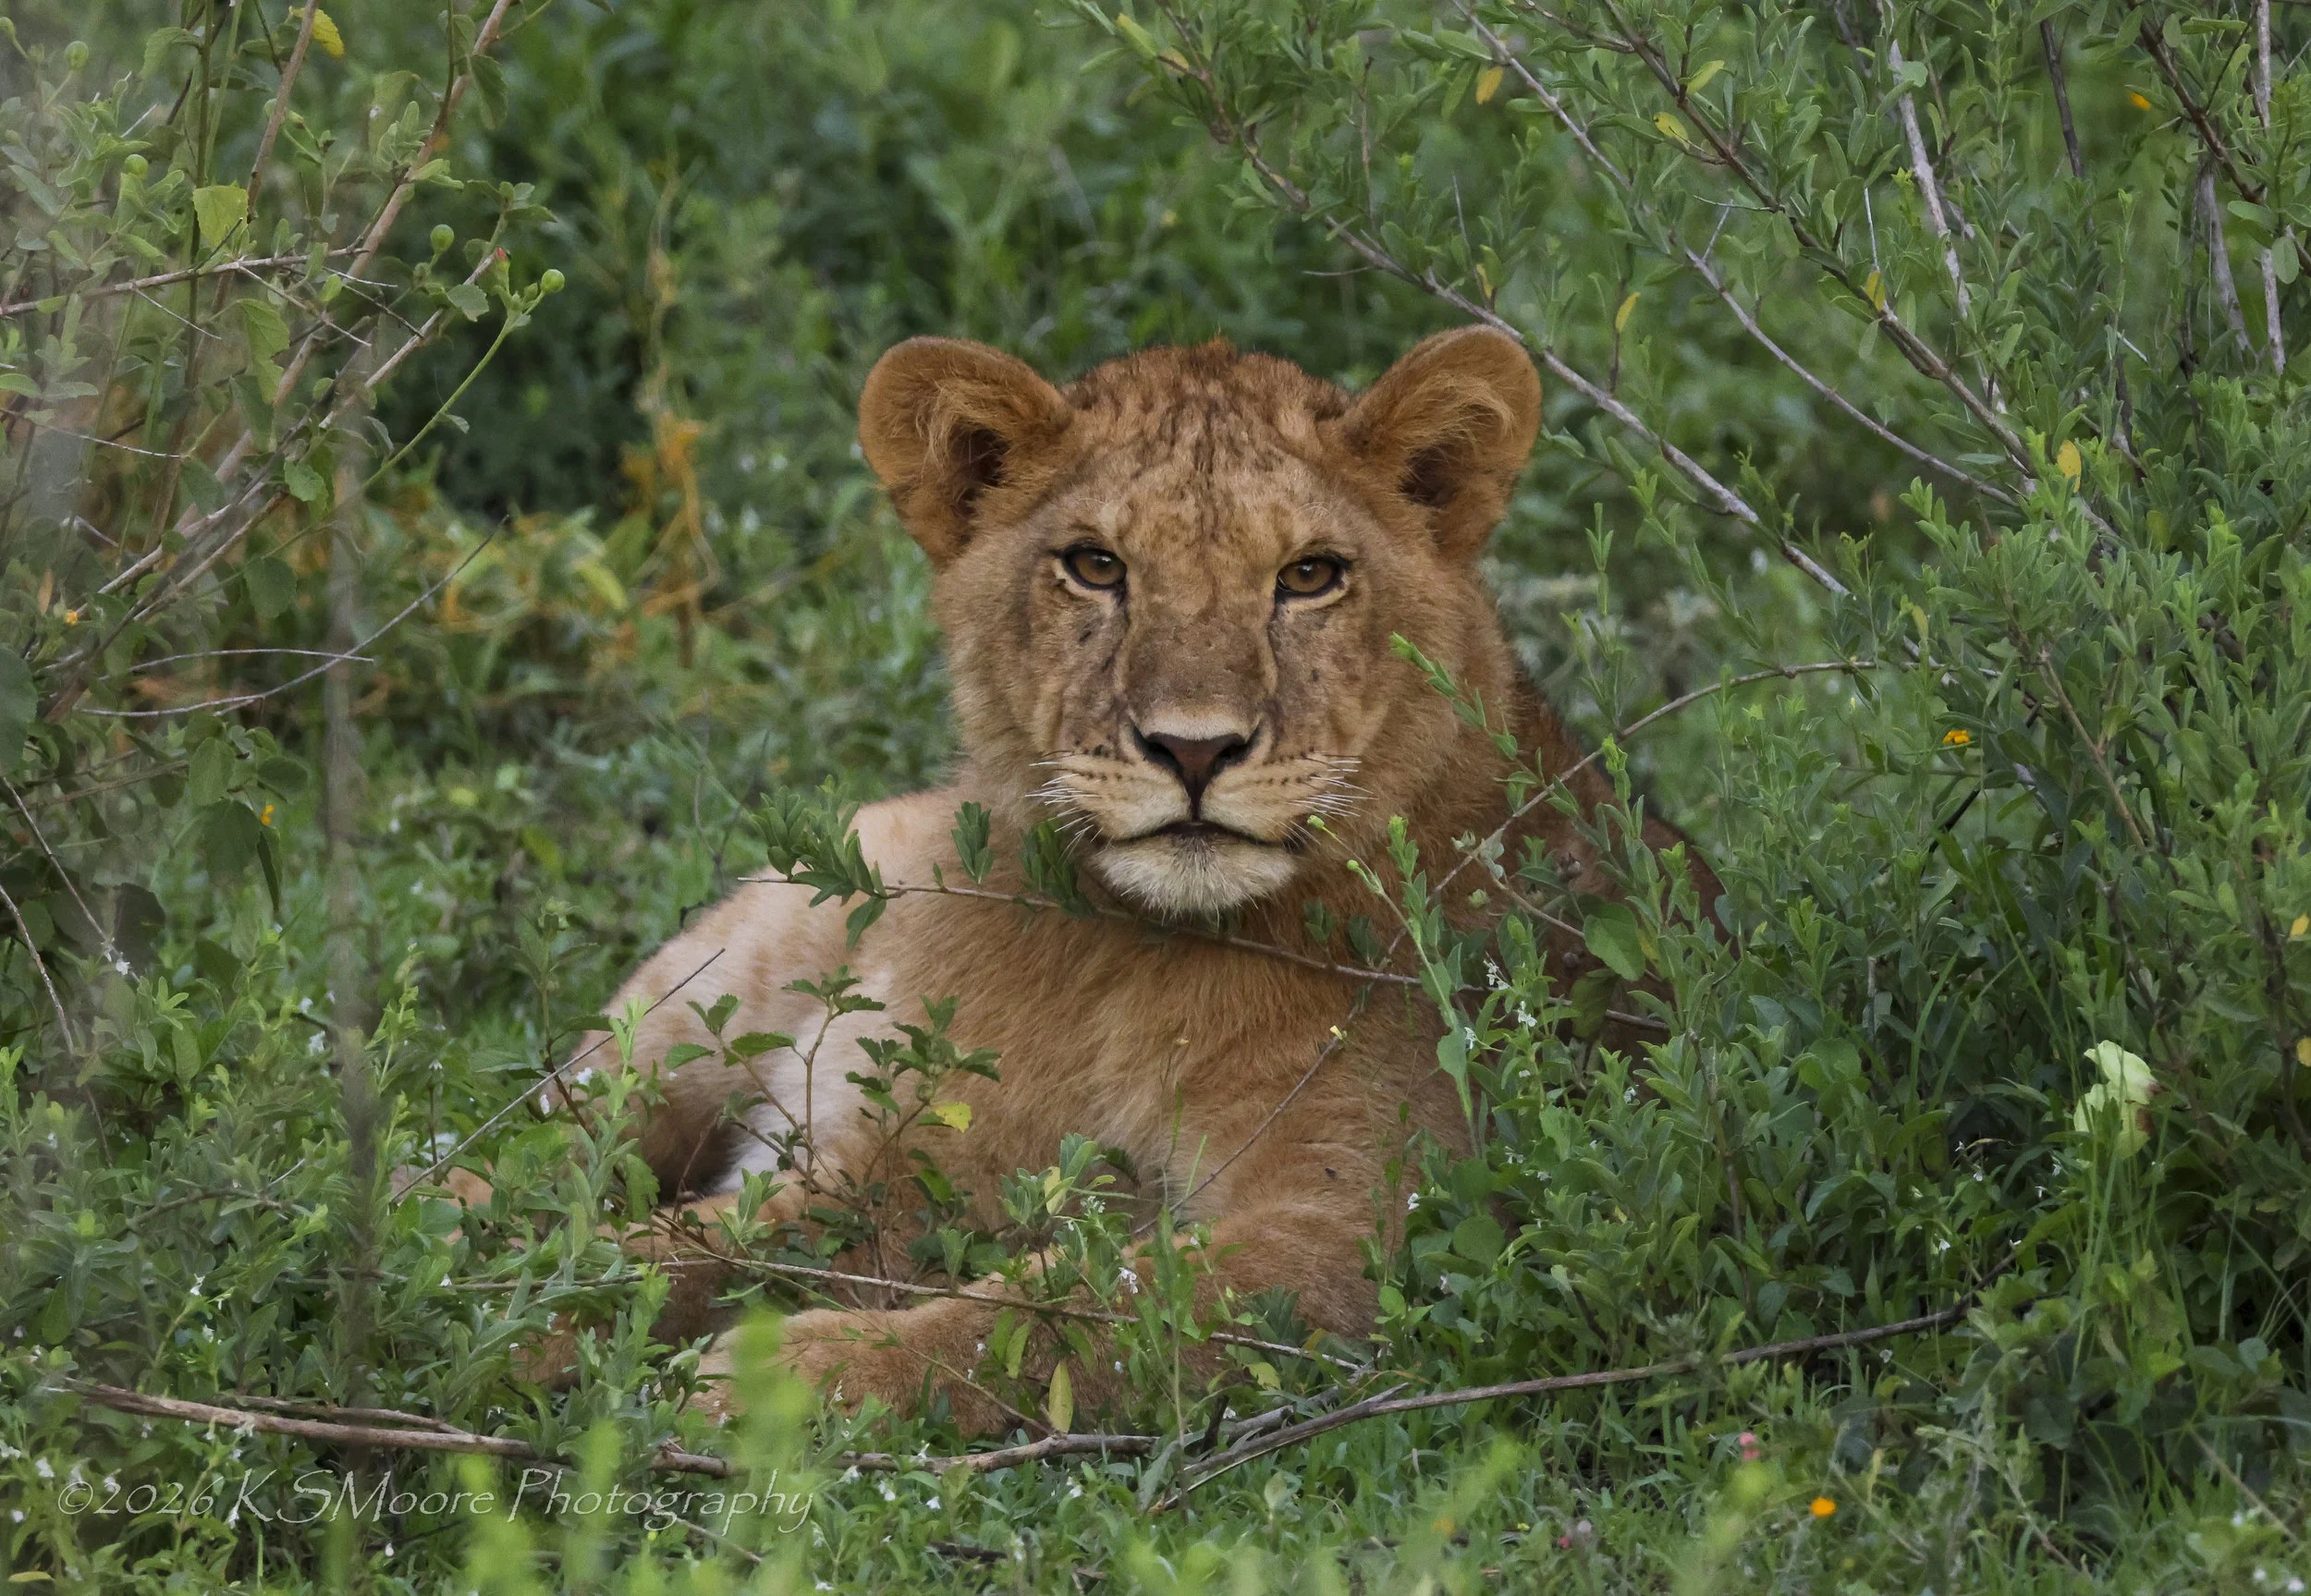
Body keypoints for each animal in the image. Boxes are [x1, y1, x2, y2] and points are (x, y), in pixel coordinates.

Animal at [527, 327, 1719, 1432]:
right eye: (1096, 566)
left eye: (1309, 575)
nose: (1193, 748)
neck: (1132, 955)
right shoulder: (919, 1154)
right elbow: (689, 1248)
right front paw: (511, 1312)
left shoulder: (1370, 1223)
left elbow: (1077, 1309)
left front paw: (789, 1375)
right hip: (704, 1000)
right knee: (559, 1131)